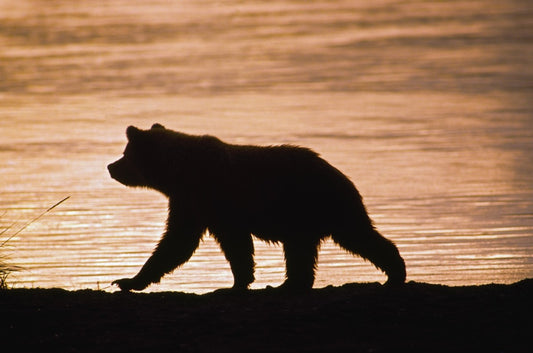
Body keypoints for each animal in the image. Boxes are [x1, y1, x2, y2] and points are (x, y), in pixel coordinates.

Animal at [108, 122, 406, 290]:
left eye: (125, 154)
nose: (110, 166)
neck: (178, 172)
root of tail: (340, 174)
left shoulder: (208, 196)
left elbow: (186, 242)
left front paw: (127, 280)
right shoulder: (196, 203)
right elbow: (189, 242)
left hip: (310, 203)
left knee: (354, 236)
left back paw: (395, 273)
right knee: (309, 249)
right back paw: (291, 284)